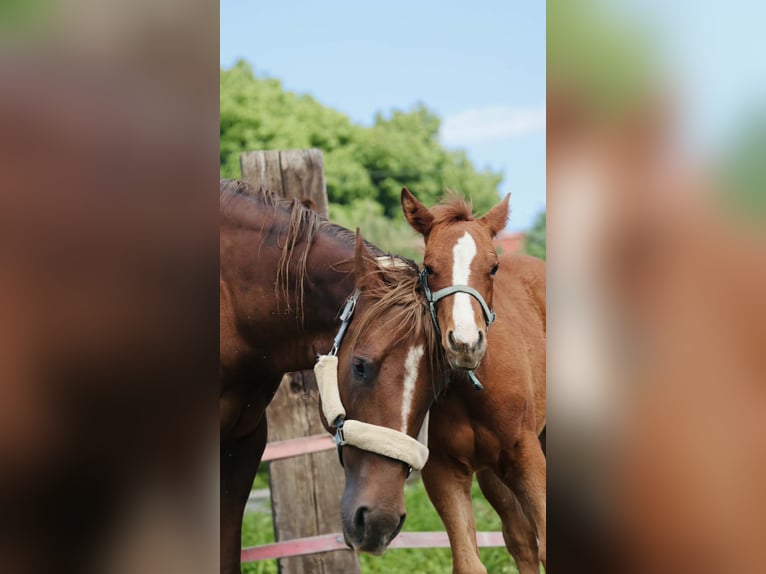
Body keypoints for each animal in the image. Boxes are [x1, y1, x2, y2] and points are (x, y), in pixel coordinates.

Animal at [398, 188, 547, 574]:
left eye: (492, 266)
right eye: (428, 268)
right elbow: (468, 561)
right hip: (492, 472)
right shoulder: (444, 470)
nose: (465, 343)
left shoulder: (527, 455)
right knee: (521, 539)